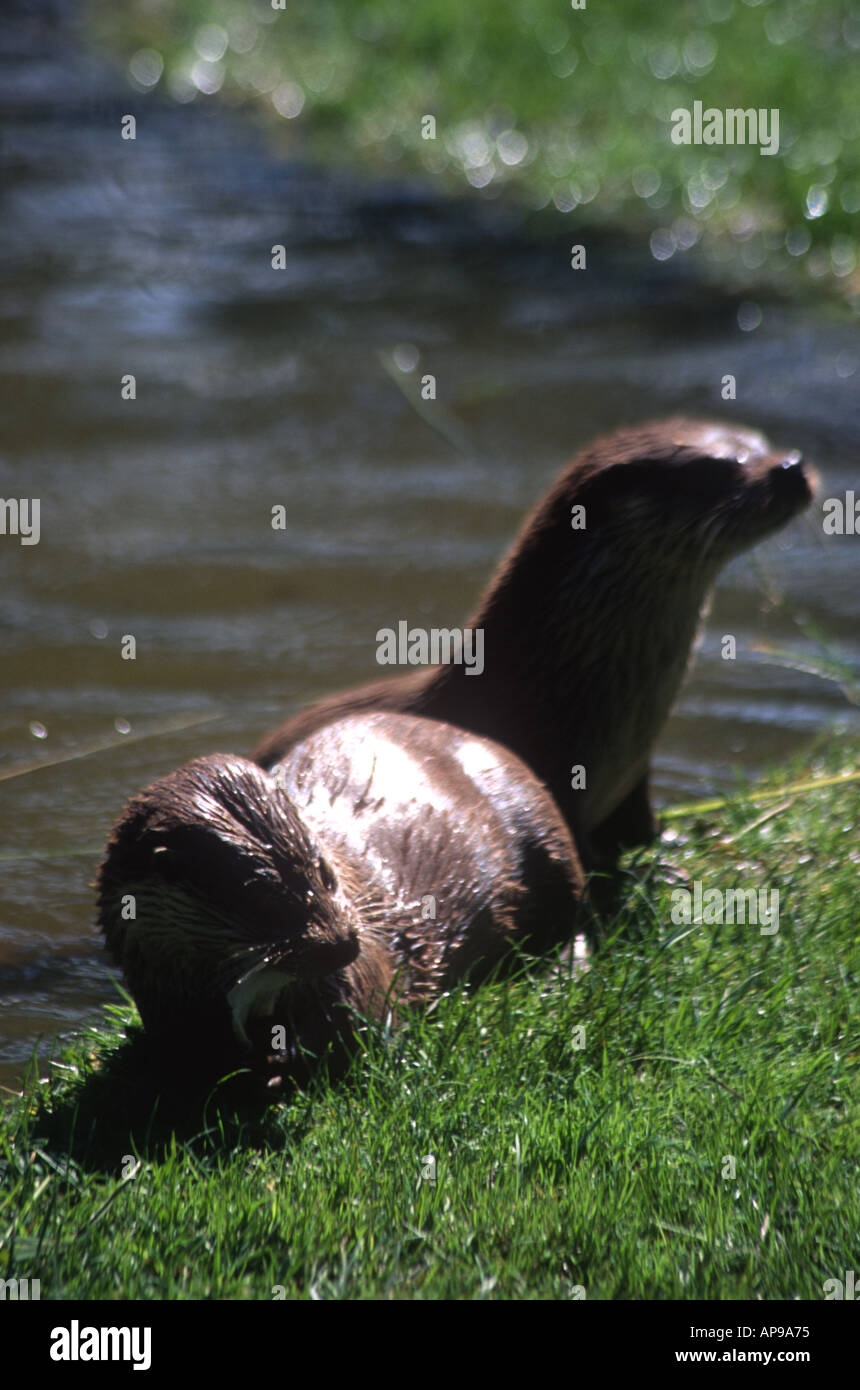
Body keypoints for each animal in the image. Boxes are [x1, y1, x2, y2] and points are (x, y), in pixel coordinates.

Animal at [99, 711, 586, 1078]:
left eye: (323, 872)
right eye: (258, 897)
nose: (342, 944)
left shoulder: (367, 963)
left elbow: (357, 1022)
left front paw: (286, 1061)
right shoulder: (159, 995)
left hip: (540, 825)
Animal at [254, 411, 816, 867]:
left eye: (761, 440)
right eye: (718, 467)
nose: (791, 465)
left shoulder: (634, 775)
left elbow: (640, 825)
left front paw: (677, 841)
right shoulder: (553, 765)